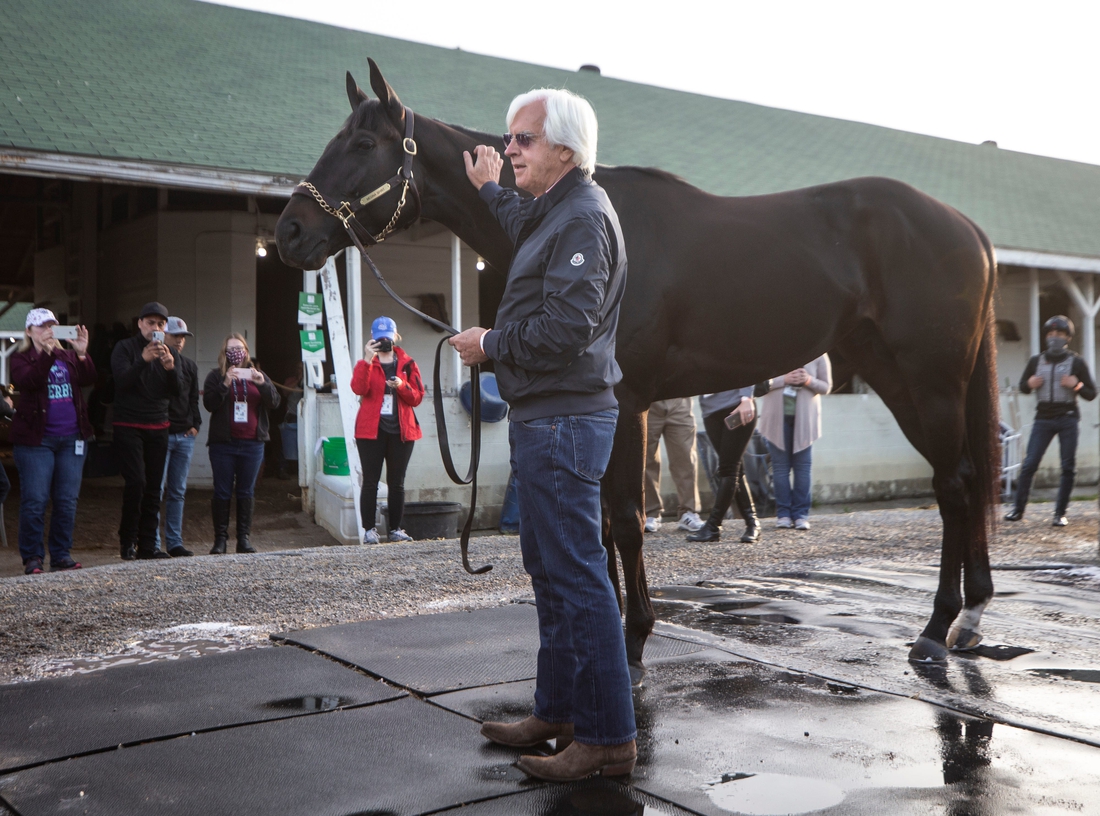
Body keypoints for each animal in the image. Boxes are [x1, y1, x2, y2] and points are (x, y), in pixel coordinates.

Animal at [275, 62, 998, 677]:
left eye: (363, 142)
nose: (289, 232)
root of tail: (966, 227)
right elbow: (596, 522)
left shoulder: (625, 404)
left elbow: (623, 519)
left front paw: (632, 639)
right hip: (901, 381)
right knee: (964, 480)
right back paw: (971, 617)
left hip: (930, 383)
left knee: (956, 485)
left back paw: (936, 630)